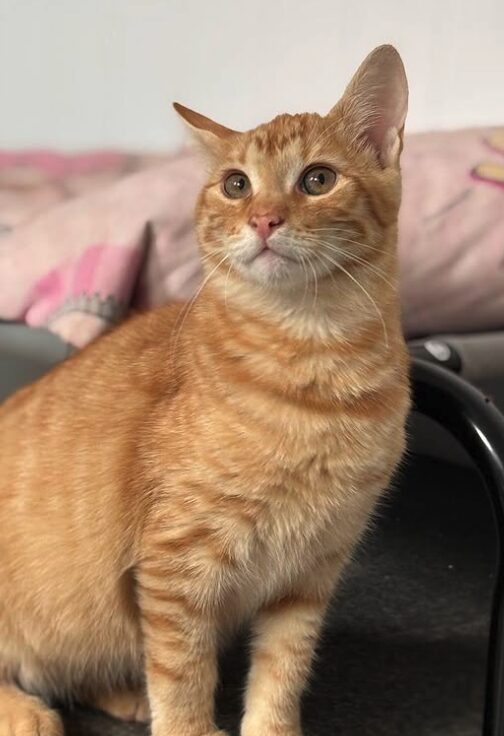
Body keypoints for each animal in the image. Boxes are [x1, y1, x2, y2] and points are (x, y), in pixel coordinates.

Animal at [0, 46, 410, 736]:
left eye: (318, 180)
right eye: (236, 184)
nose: (264, 219)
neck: (316, 369)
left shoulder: (310, 574)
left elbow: (282, 672)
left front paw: (271, 728)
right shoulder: (176, 567)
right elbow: (182, 671)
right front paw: (188, 725)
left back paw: (122, 693)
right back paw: (28, 711)